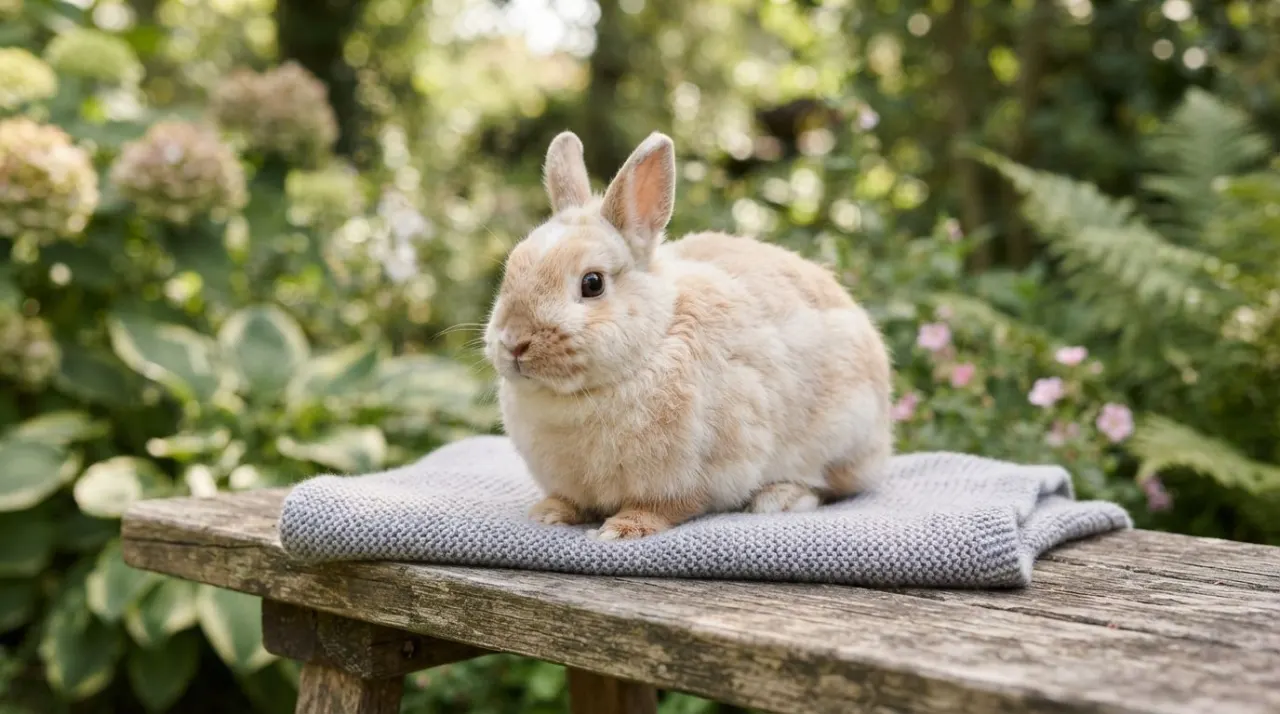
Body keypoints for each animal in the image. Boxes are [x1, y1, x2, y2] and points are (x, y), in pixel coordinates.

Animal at [483, 130, 894, 540]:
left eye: (592, 283)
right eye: (511, 270)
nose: (514, 342)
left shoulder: (694, 475)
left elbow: (667, 506)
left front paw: (623, 529)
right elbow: (569, 500)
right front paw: (549, 513)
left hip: (843, 435)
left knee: (827, 484)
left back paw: (779, 498)